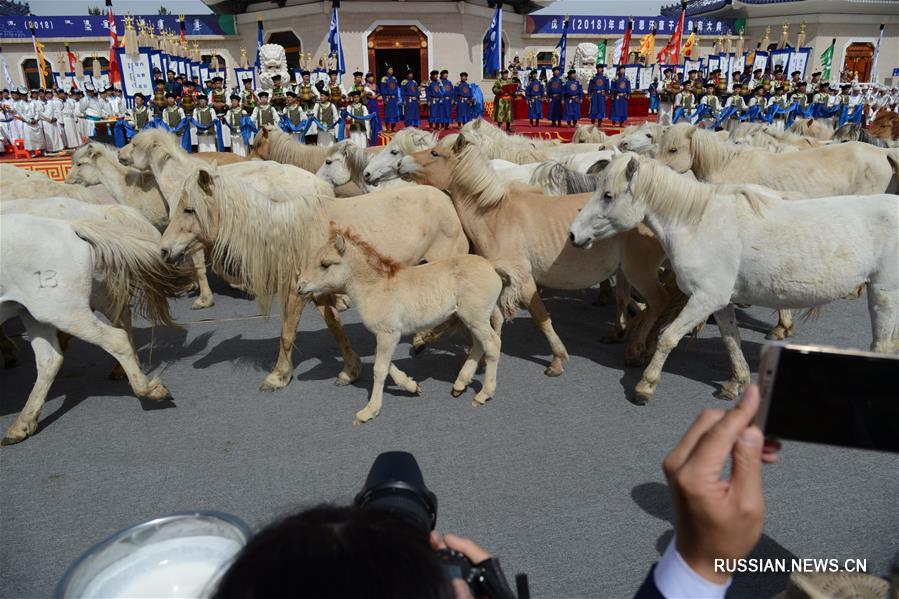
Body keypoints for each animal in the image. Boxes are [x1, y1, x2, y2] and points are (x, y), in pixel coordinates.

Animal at [163, 164, 472, 392]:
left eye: (189, 209)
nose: (165, 250)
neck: (287, 235)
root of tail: (446, 198)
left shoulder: (294, 291)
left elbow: (287, 333)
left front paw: (278, 376)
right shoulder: (318, 291)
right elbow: (335, 328)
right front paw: (350, 371)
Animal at [300, 226, 512, 426]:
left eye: (325, 264)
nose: (300, 287)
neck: (376, 287)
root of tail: (491, 266)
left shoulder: (388, 333)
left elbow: (379, 370)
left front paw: (368, 411)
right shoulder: (386, 335)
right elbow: (384, 363)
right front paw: (411, 386)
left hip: (475, 318)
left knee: (493, 345)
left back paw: (483, 394)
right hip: (473, 319)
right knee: (479, 345)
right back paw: (460, 384)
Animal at [400, 135, 668, 376]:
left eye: (435, 153)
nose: (401, 162)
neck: (495, 216)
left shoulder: (524, 280)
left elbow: (540, 318)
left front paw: (557, 360)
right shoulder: (501, 280)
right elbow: (492, 319)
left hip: (640, 272)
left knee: (658, 303)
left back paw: (638, 350)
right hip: (624, 272)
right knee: (630, 300)